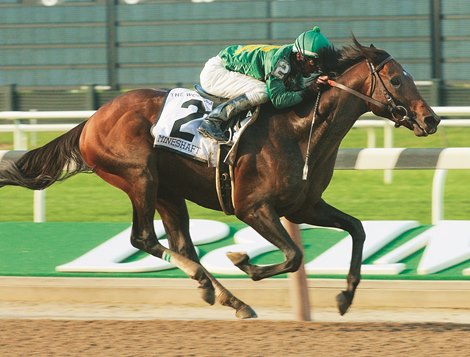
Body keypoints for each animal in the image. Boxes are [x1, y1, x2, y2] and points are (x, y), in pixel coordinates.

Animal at [0, 38, 440, 318]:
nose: (431, 119)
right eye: (396, 79)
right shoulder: (252, 207)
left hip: (169, 192)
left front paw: (346, 297)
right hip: (139, 176)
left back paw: (226, 296)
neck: (300, 129)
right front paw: (243, 260)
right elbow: (293, 256)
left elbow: (357, 229)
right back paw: (216, 287)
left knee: (182, 245)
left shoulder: (304, 206)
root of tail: (92, 120)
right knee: (143, 238)